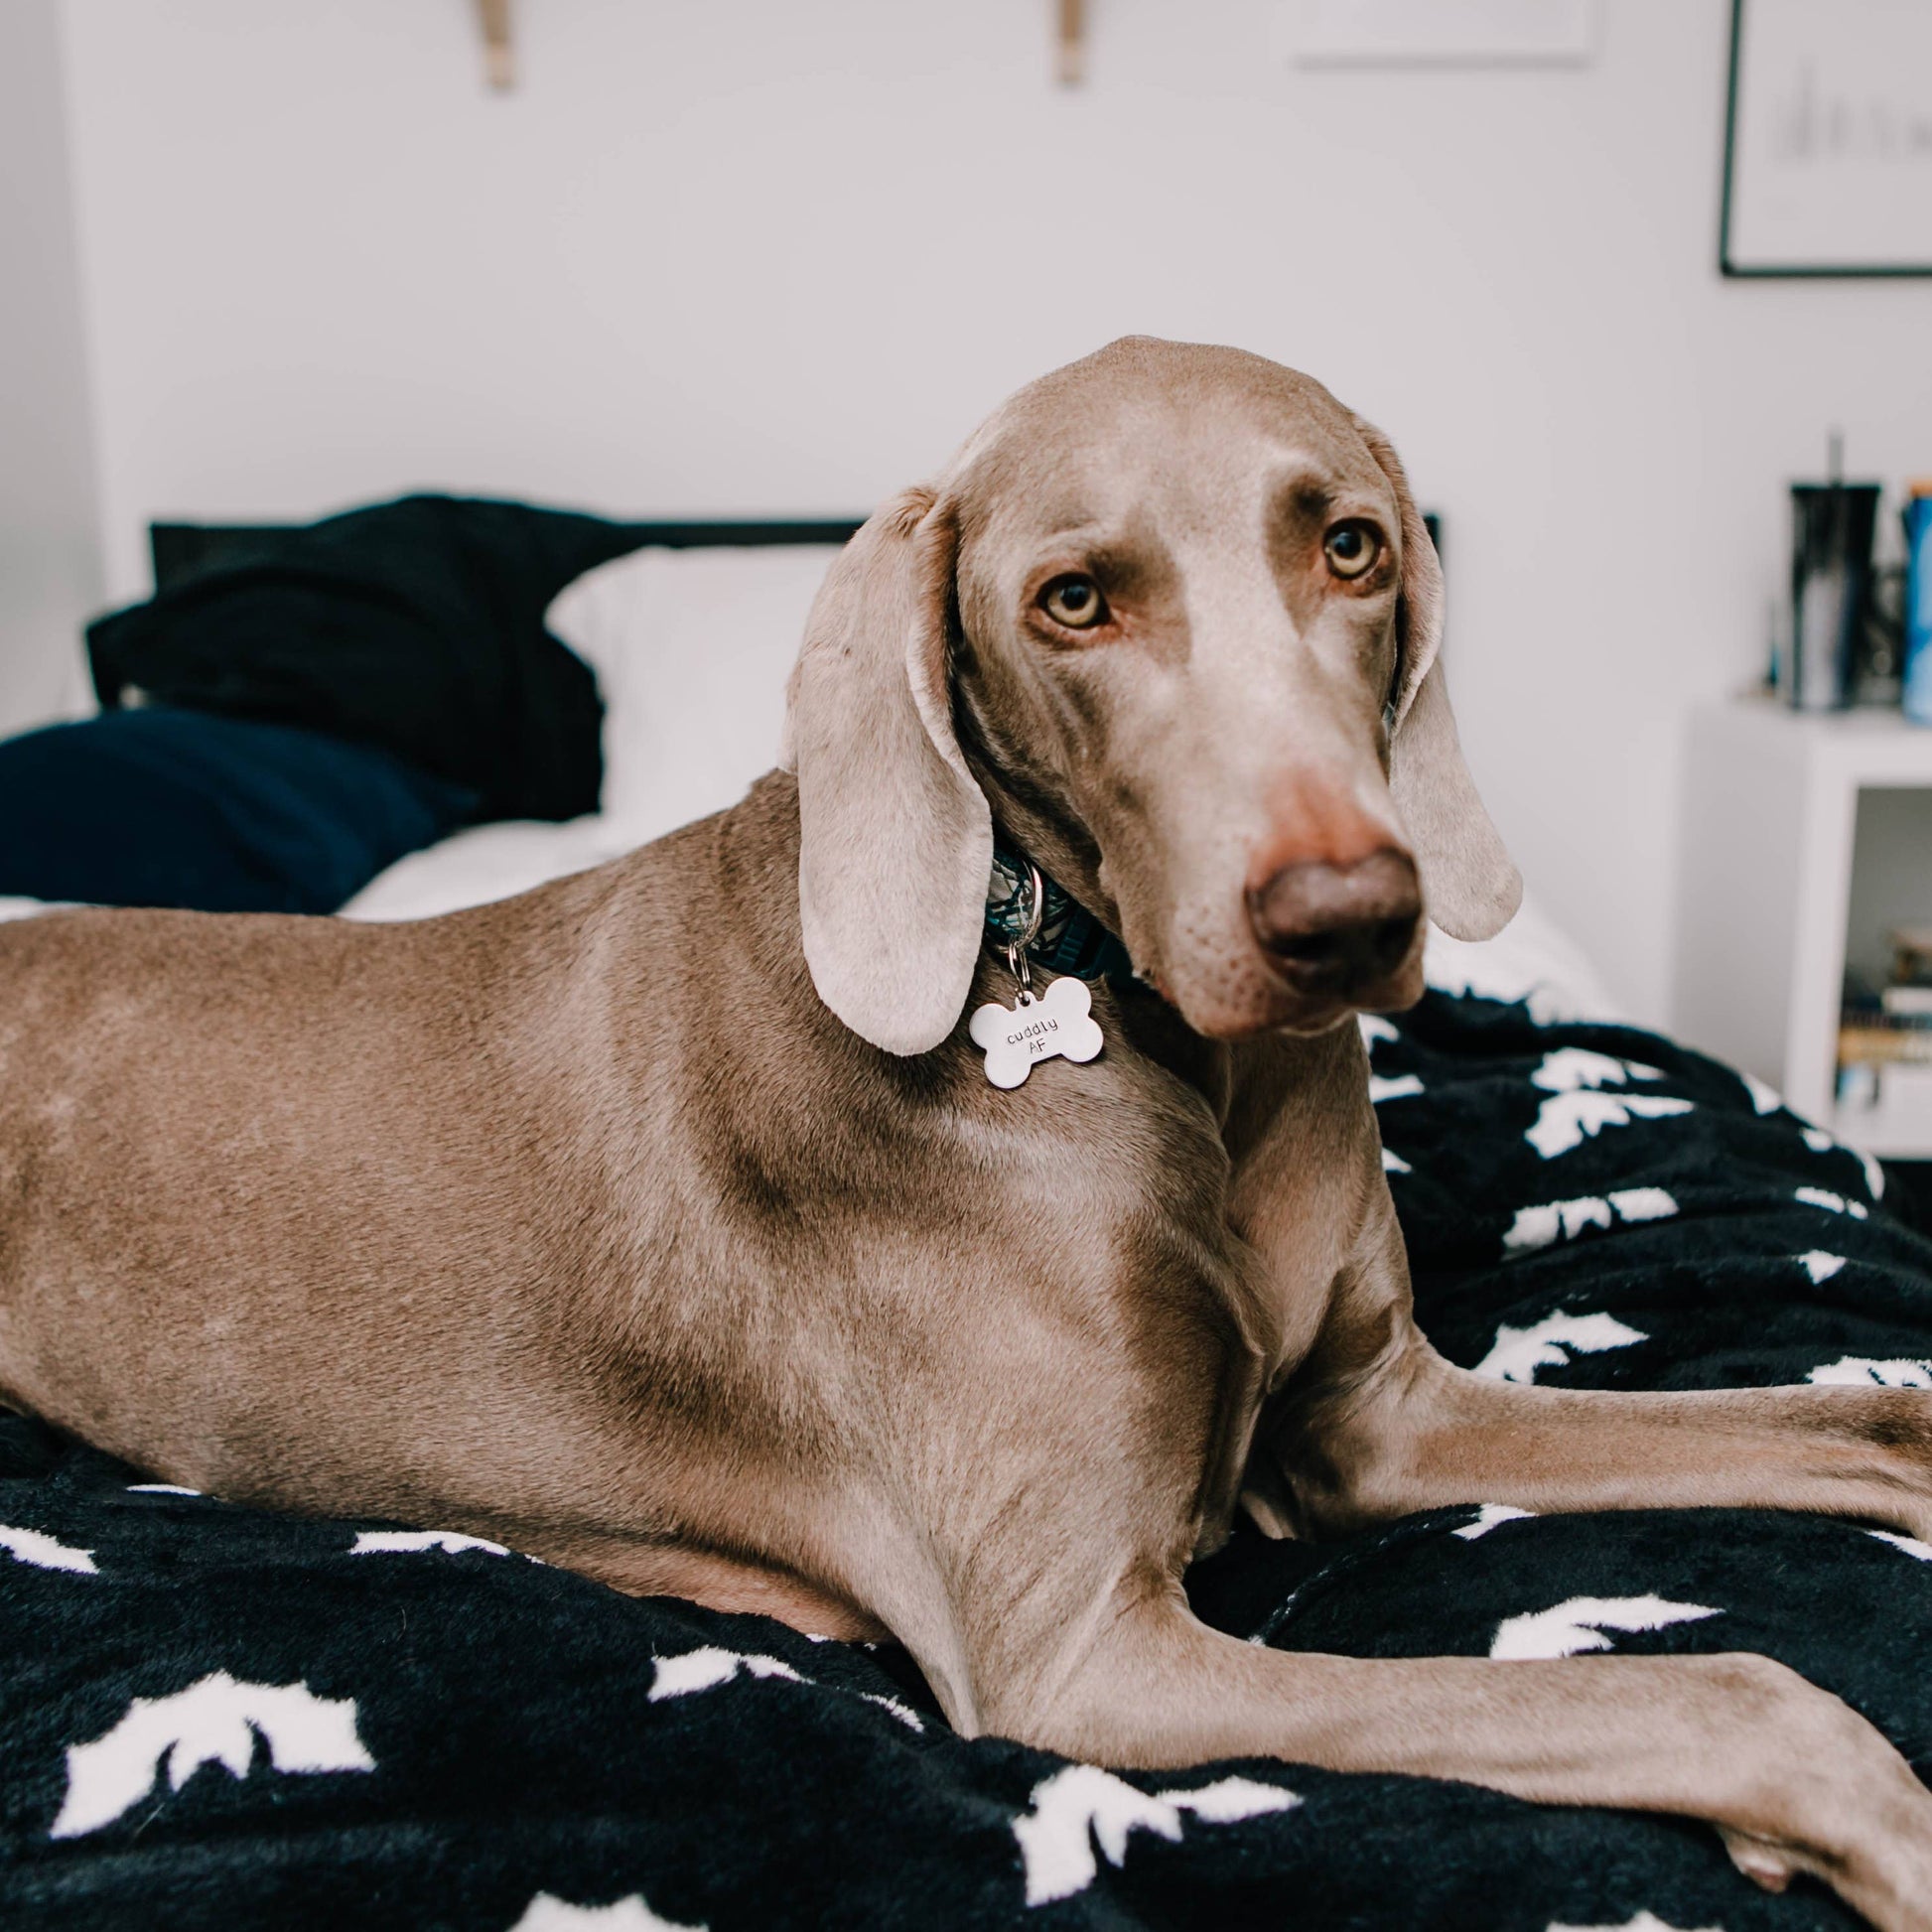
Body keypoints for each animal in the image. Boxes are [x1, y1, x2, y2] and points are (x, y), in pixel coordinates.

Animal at [3, 340, 1932, 1924]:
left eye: (1351, 547)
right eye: (1073, 600)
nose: (1345, 920)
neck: (1155, 1049)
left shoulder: (1378, 1415)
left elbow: (1842, 1415)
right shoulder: (1085, 1659)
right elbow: (1697, 1684)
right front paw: (1868, 1820)